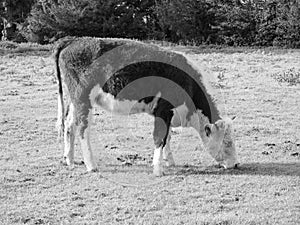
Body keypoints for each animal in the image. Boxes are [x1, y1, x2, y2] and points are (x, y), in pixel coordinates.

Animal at [53, 36, 237, 176]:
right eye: (227, 142)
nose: (235, 164)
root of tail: (74, 40)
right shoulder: (163, 110)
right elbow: (159, 137)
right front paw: (158, 169)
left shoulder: (168, 114)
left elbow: (168, 137)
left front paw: (170, 161)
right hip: (84, 99)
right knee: (83, 128)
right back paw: (91, 165)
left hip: (75, 100)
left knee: (69, 124)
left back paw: (69, 159)